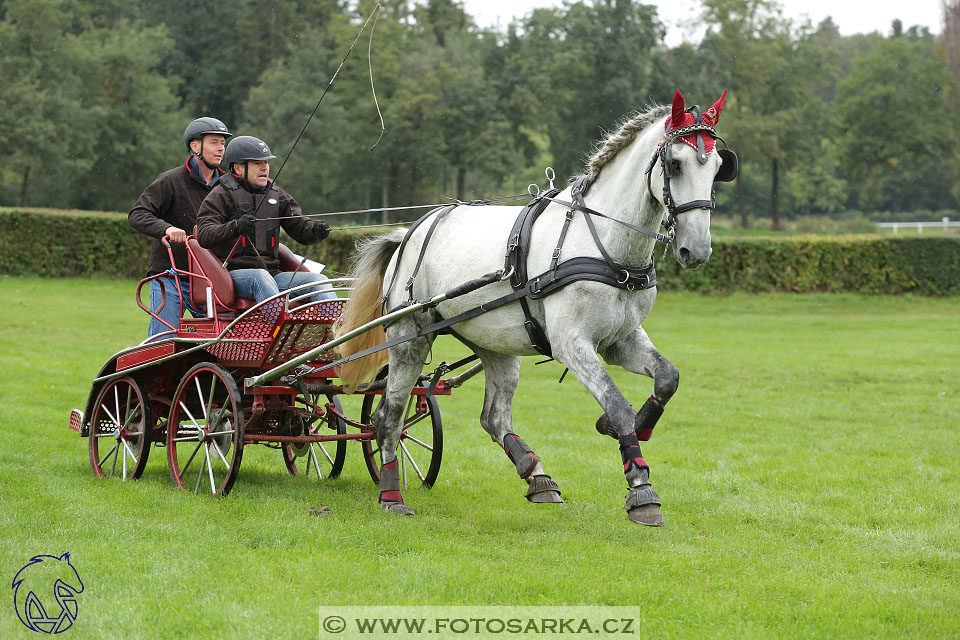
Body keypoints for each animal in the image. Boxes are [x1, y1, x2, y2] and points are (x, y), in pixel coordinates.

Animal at [336, 90, 736, 524]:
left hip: (494, 344)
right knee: (388, 416)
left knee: (493, 417)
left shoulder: (622, 339)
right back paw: (391, 494)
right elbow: (616, 404)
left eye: (718, 168)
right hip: (410, 337)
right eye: (675, 164)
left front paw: (633, 427)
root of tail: (408, 233)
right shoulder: (572, 344)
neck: (606, 246)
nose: (696, 250)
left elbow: (667, 378)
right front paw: (641, 488)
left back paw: (536, 475)